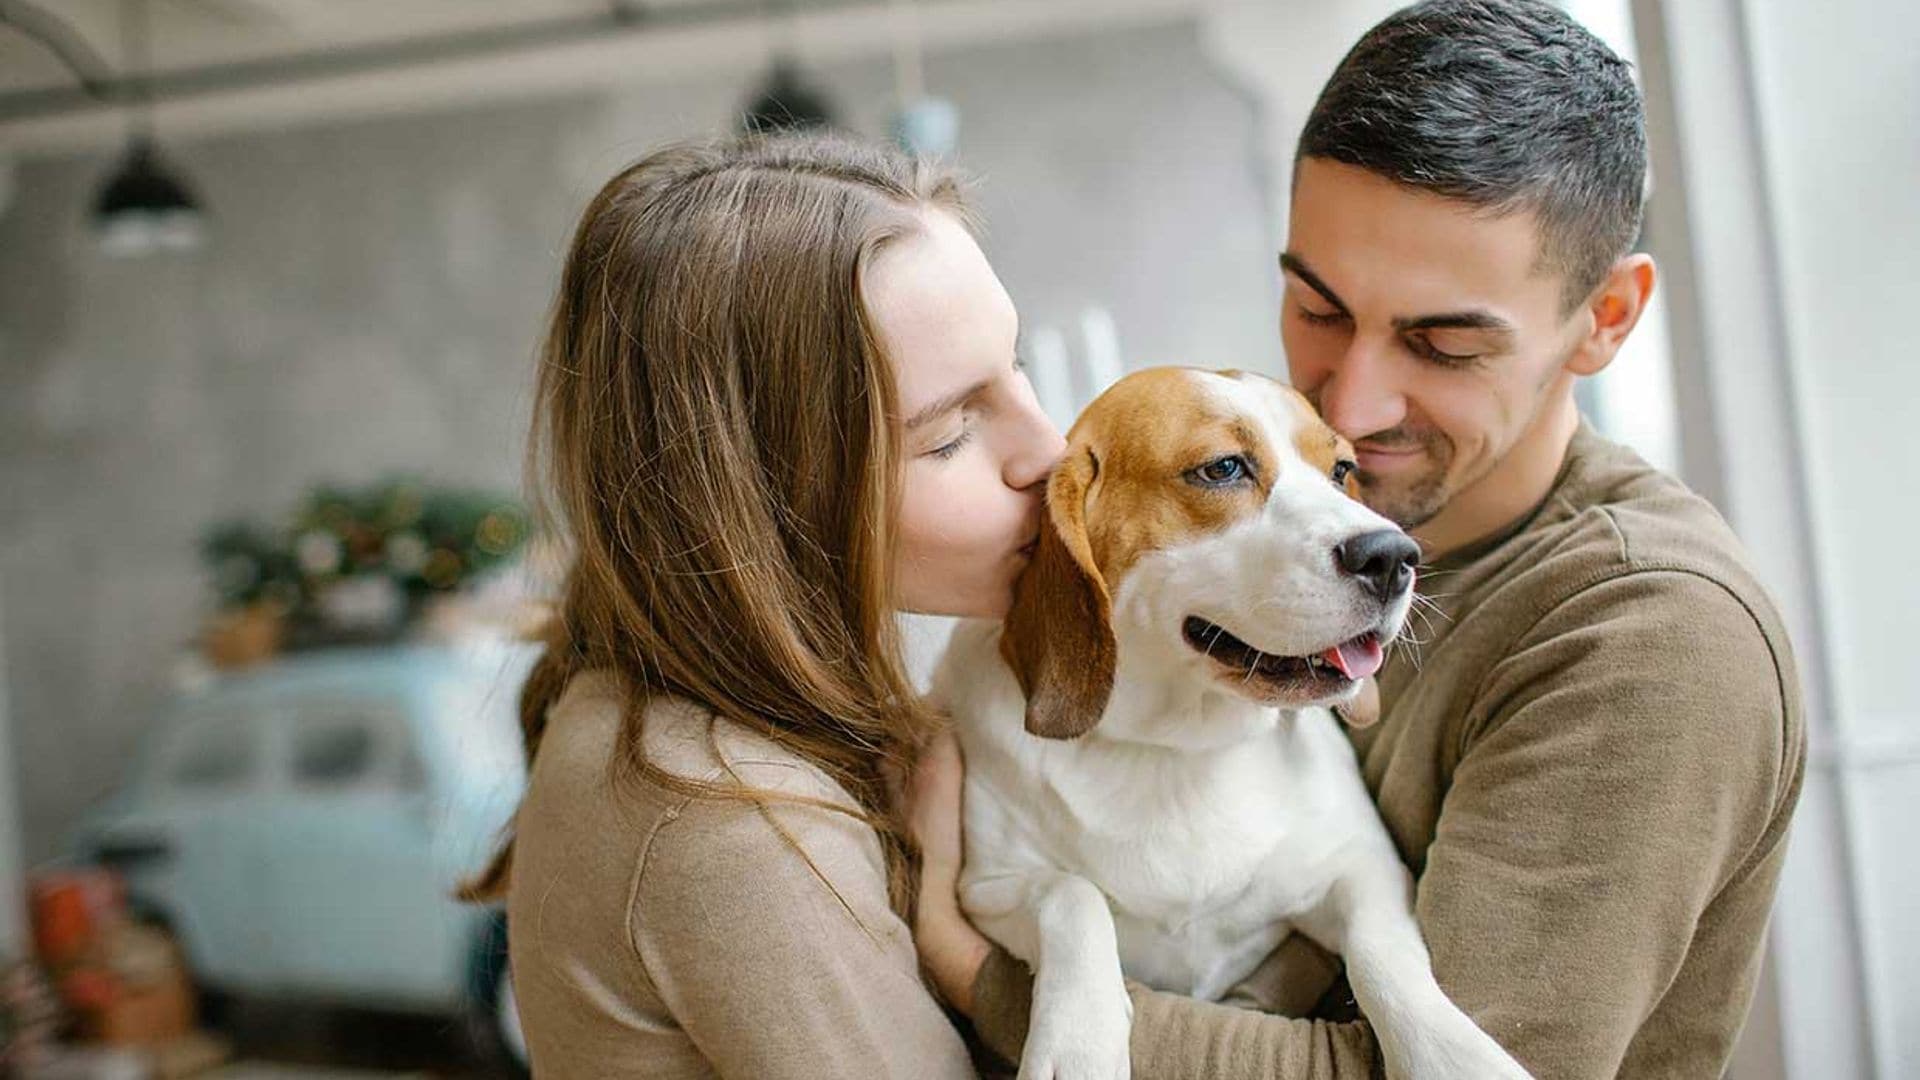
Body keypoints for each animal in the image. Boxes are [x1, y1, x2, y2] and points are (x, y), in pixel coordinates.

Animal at [929, 365, 1528, 1068]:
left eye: (1342, 470)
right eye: (1222, 469)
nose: (1392, 556)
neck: (1177, 747)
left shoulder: (1365, 868)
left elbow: (1385, 958)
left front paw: (1454, 1053)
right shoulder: (988, 887)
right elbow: (1071, 897)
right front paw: (1078, 1042)